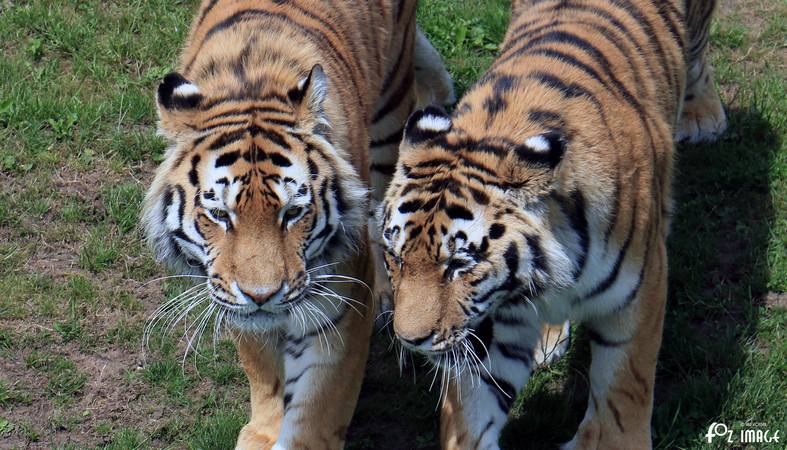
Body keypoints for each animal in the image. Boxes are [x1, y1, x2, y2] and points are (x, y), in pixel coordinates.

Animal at [139, 1, 452, 448]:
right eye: (221, 215)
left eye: (292, 213)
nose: (262, 295)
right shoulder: (234, 297)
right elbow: (263, 368)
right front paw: (263, 431)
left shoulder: (338, 304)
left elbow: (319, 405)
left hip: (390, 116)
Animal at [380, 0, 728, 446]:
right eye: (395, 257)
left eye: (459, 265)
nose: (412, 341)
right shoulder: (498, 321)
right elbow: (474, 411)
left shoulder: (639, 292)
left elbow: (623, 385)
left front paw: (615, 440)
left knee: (698, 53)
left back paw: (703, 115)